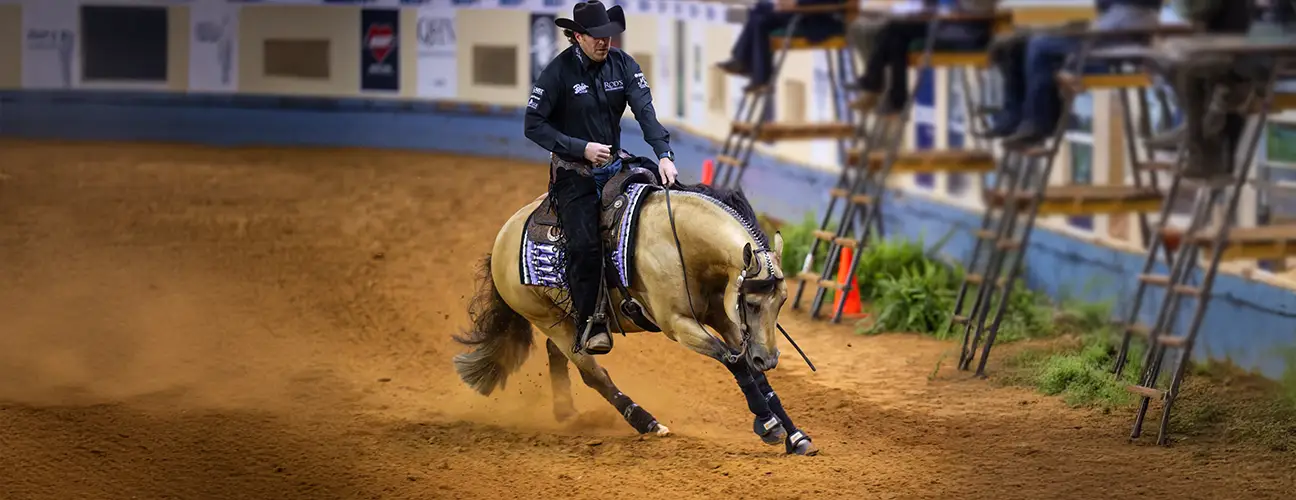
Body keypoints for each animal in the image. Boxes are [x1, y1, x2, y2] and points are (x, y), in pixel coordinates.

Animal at [450, 163, 817, 456]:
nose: (770, 358)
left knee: (558, 353)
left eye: (782, 302)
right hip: (545, 318)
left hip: (567, 320)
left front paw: (795, 436)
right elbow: (734, 361)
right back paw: (647, 422)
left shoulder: (723, 316)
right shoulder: (678, 325)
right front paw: (768, 424)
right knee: (593, 373)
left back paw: (566, 412)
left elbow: (752, 370)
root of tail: (502, 240)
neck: (680, 242)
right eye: (752, 303)